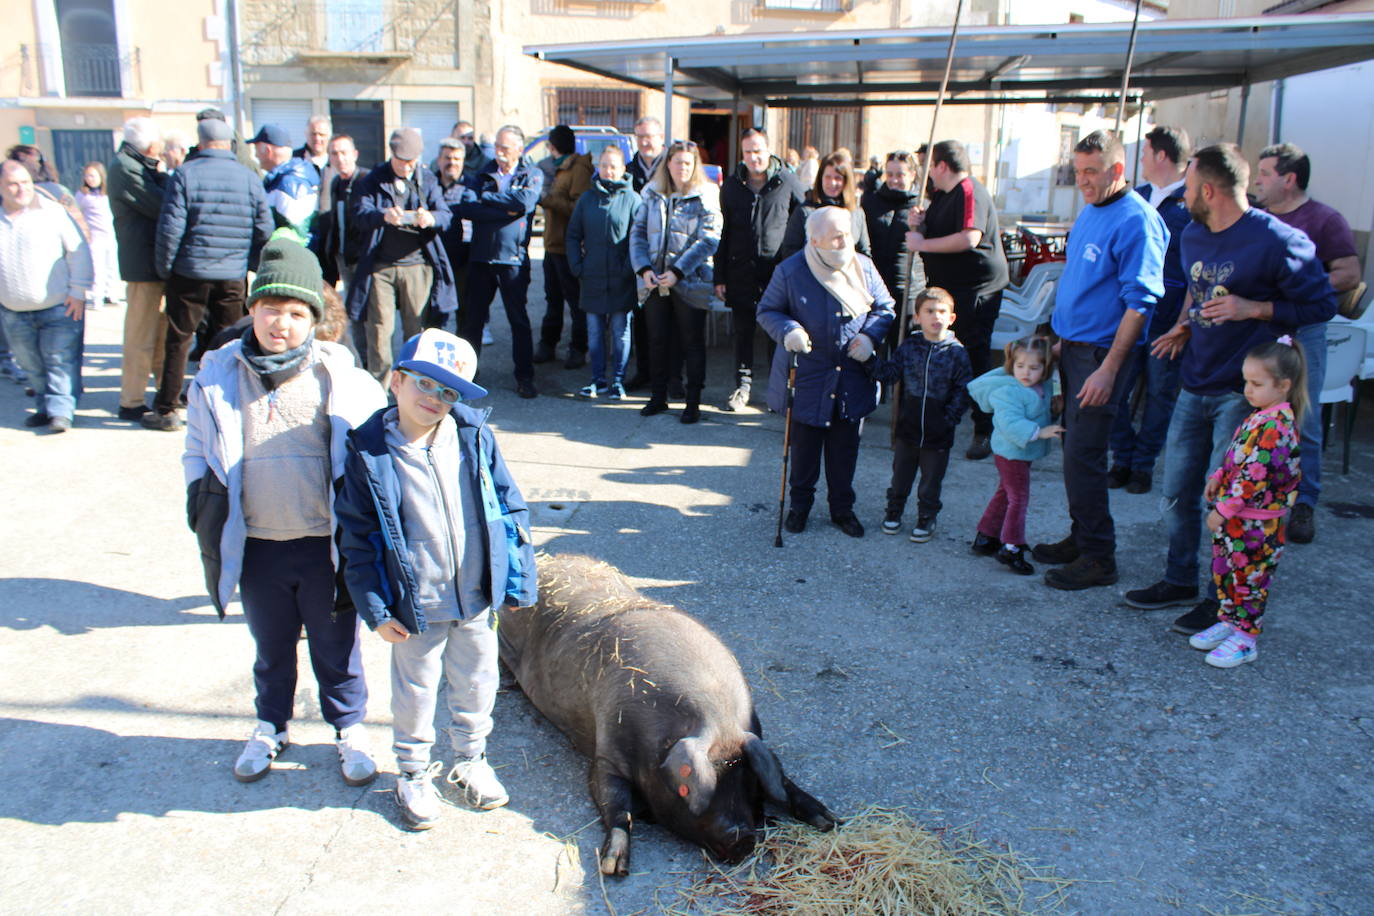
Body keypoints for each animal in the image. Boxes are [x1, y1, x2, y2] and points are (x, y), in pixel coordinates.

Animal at [497, 554, 835, 878]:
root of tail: (547, 559)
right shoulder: (606, 753)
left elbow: (782, 778)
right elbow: (617, 807)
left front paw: (828, 820)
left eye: (749, 778)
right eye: (687, 789)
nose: (743, 837)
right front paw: (614, 868)